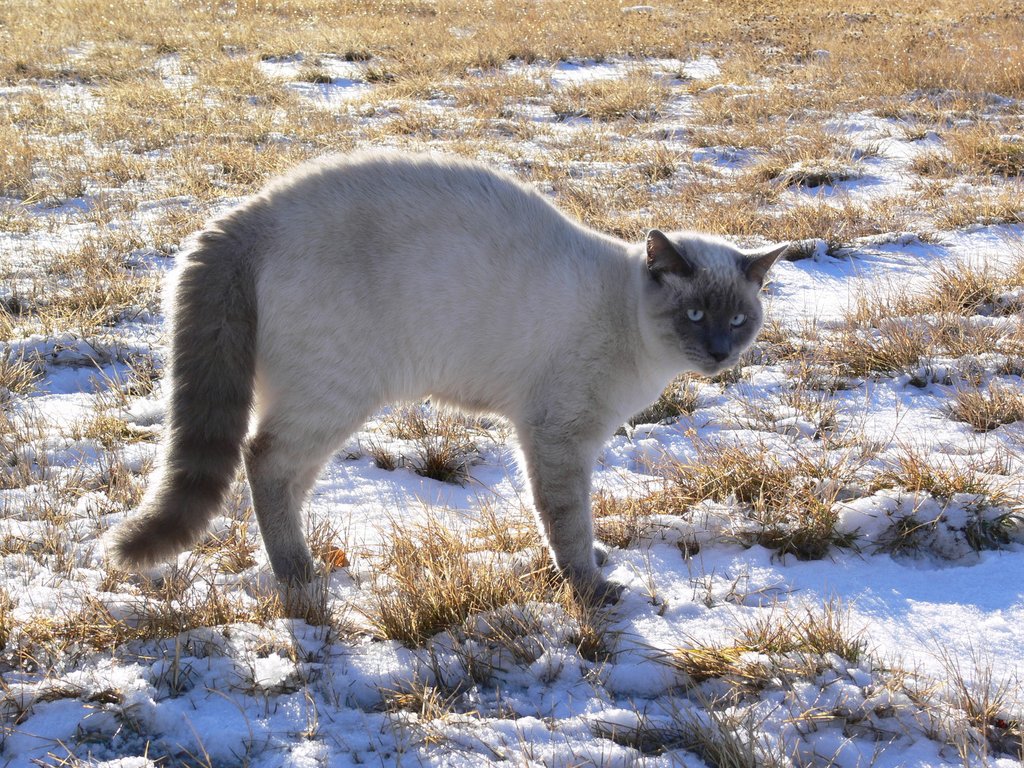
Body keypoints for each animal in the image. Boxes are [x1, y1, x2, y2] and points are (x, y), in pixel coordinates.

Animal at [110, 150, 782, 606]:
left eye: (738, 320)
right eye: (693, 315)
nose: (719, 353)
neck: (637, 337)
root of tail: (243, 218)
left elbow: (572, 524)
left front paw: (593, 563)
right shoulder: (558, 436)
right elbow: (566, 519)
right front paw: (591, 587)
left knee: (282, 474)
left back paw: (303, 565)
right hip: (336, 394)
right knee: (263, 458)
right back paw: (300, 579)